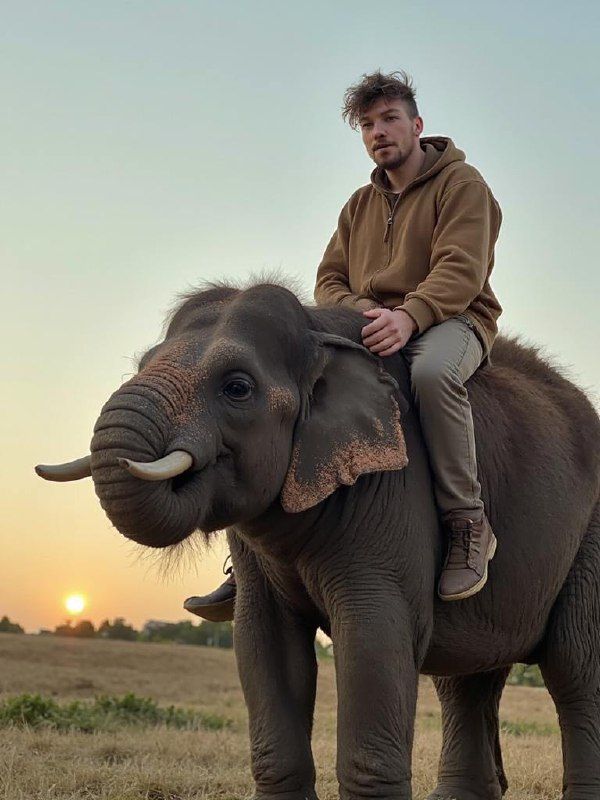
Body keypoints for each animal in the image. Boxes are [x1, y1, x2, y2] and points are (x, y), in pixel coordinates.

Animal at [37, 281, 600, 800]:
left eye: (236, 387)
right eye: (143, 363)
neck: (317, 331)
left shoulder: (392, 490)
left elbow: (374, 637)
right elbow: (264, 643)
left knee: (575, 669)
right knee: (467, 678)